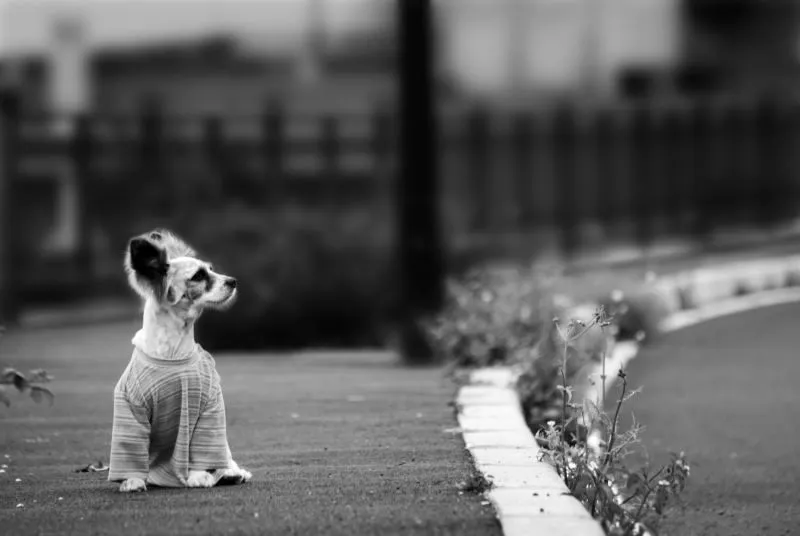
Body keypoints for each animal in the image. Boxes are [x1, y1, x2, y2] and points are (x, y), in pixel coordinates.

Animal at [109, 228, 252, 492]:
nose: (233, 281)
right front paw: (132, 480)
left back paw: (231, 474)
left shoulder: (208, 409)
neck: (170, 353)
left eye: (211, 269)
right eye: (199, 275)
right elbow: (131, 448)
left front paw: (199, 475)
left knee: (226, 460)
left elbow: (202, 449)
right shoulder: (130, 408)